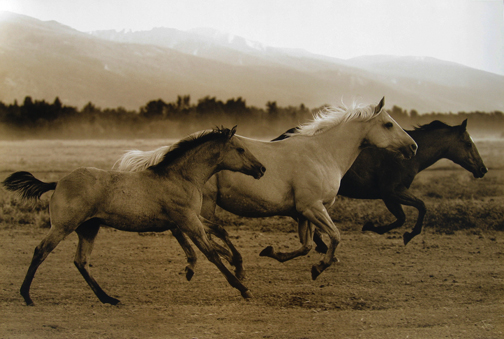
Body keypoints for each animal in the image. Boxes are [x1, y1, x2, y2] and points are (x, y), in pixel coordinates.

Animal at [1, 126, 268, 306]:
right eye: (241, 149)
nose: (262, 168)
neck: (181, 177)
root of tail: (57, 183)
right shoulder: (187, 220)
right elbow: (211, 253)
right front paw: (243, 288)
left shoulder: (190, 218)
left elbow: (219, 231)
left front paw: (238, 266)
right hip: (63, 226)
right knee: (41, 251)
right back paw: (27, 296)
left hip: (88, 228)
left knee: (81, 261)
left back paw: (108, 298)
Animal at [114, 97, 418, 280]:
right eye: (388, 124)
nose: (413, 147)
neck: (322, 154)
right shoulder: (312, 207)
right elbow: (334, 236)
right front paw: (319, 268)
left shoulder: (304, 212)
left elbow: (307, 245)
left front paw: (272, 253)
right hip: (202, 204)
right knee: (198, 230)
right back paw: (223, 262)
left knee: (183, 230)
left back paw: (197, 264)